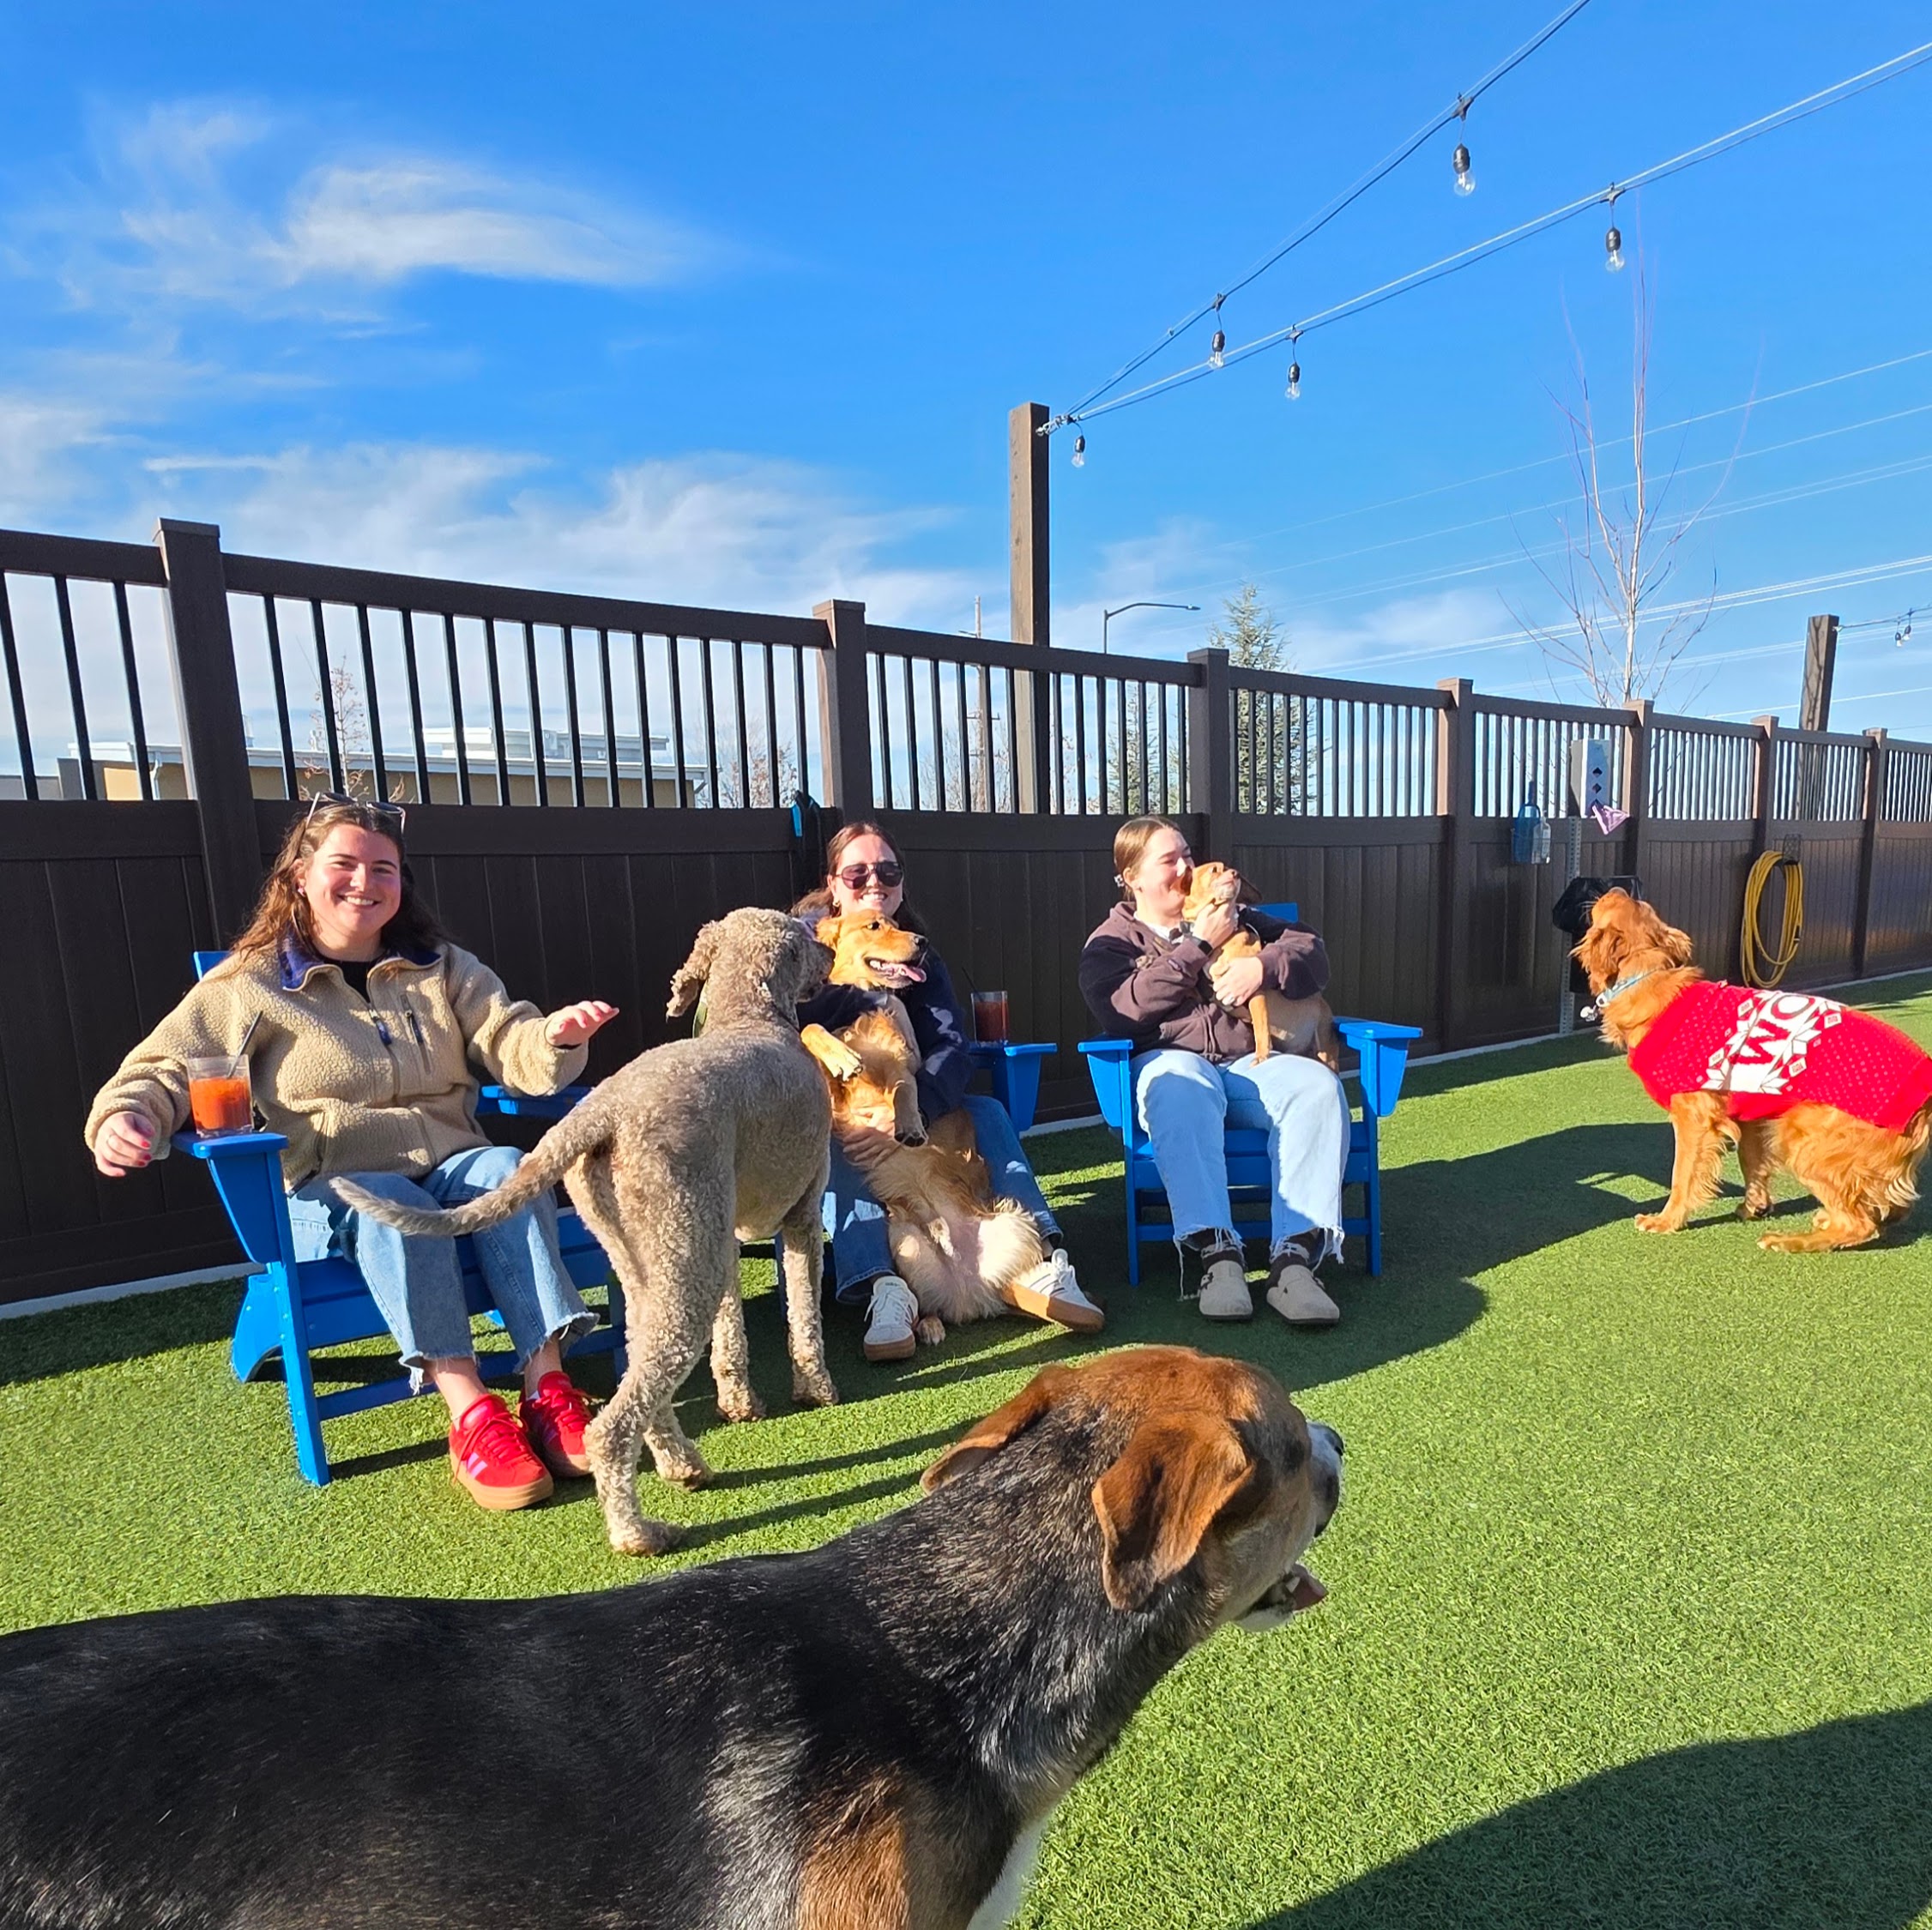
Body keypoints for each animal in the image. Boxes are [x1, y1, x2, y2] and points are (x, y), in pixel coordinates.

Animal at [338, 908, 838, 1556]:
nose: (832, 956)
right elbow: (804, 1317)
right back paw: (637, 1532)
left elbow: (731, 1340)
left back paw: (682, 1465)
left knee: (643, 1376)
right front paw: (816, 1388)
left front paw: (740, 1404)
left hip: (661, 1255)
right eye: (806, 939)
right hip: (684, 1263)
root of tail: (603, 1111)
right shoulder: (803, 1216)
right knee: (612, 1426)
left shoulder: (722, 1238)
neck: (750, 1015)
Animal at [1181, 861, 1342, 1069]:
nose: (1236, 873)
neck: (1221, 942)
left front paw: (1261, 1056)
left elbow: (1260, 1028)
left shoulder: (1253, 992)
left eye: (1229, 869)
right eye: (1214, 870)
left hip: (1325, 1050)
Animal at [1576, 888, 1932, 1251]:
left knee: (1858, 1224)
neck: (1648, 978)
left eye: (1608, 904)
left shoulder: (1694, 1116)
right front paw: (1755, 1206)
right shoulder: (1748, 1113)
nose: (1615, 888)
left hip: (1804, 1137)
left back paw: (1790, 1241)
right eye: (1641, 905)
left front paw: (1667, 1220)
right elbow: (1751, 1160)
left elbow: (1682, 1173)